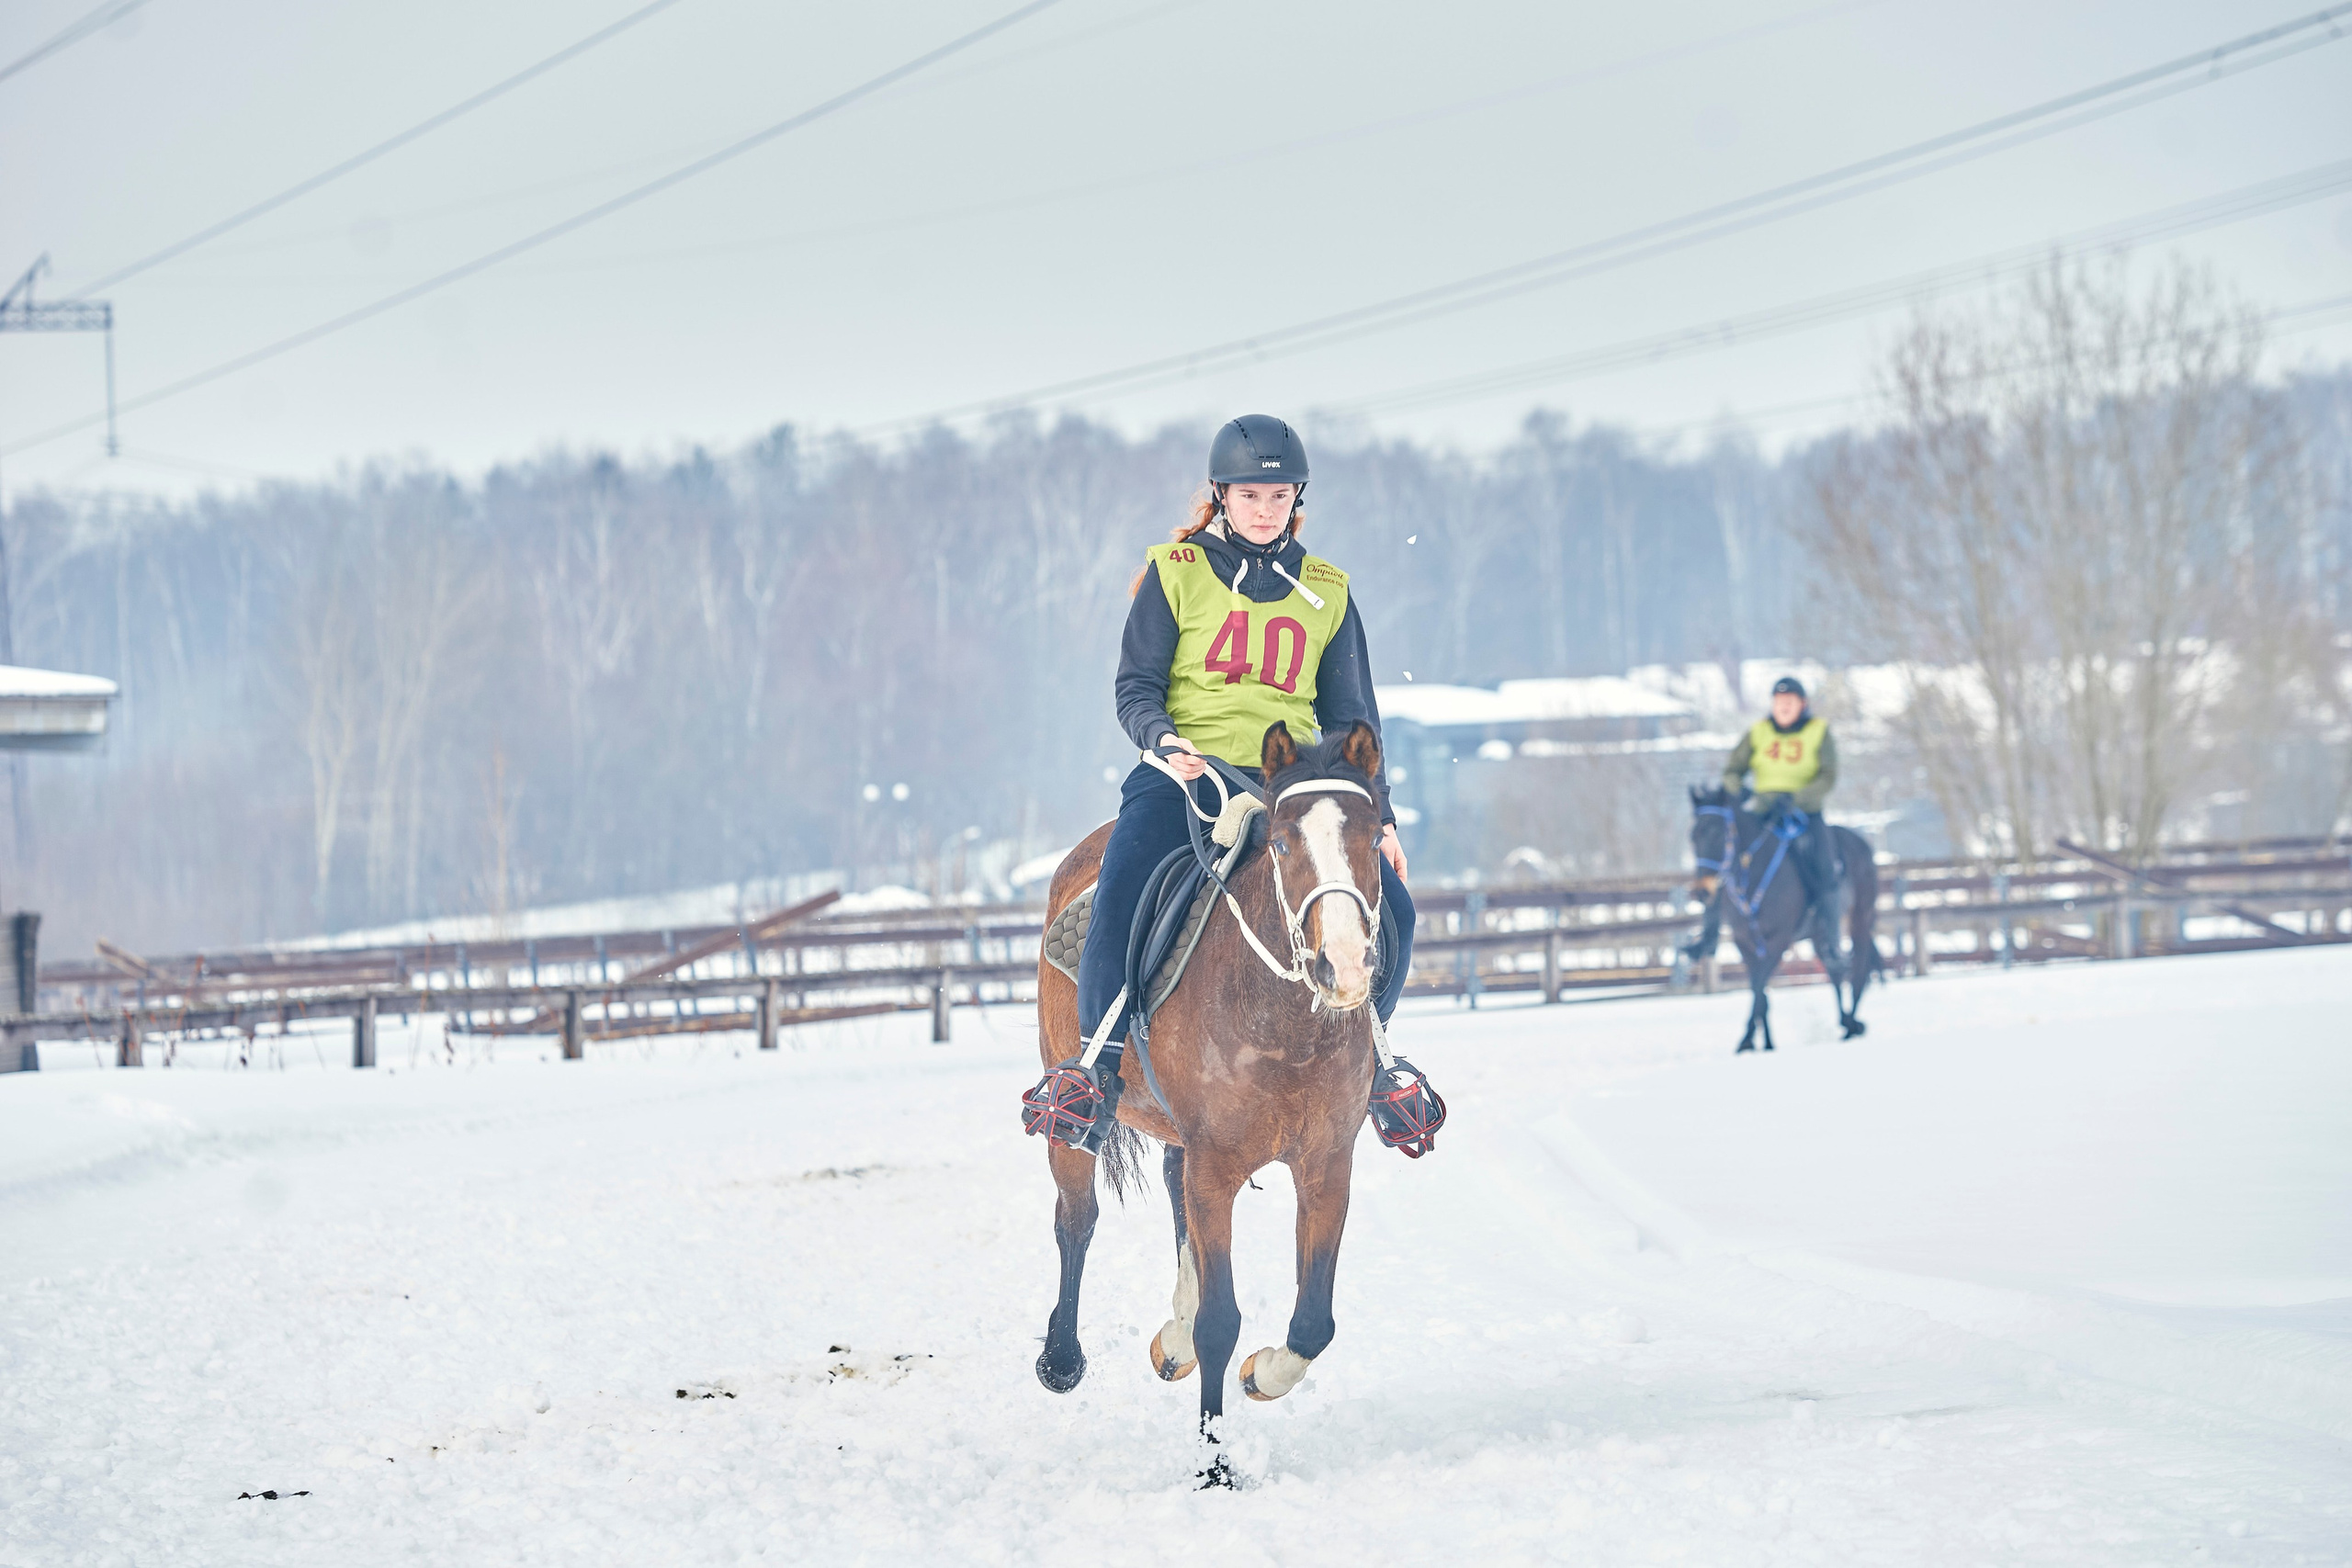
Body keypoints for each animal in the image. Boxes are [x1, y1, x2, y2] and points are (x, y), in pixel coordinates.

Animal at [1032, 720, 1389, 1487]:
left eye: (1375, 838)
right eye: (1282, 843)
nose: (1344, 965)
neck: (1281, 1022)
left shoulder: (1325, 1166)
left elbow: (1314, 1320)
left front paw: (1263, 1373)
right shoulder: (1218, 1166)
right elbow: (1222, 1320)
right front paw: (1215, 1465)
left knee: (1171, 1189)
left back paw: (1172, 1338)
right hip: (1073, 1109)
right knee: (1077, 1218)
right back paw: (1062, 1359)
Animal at [1686, 784, 1883, 1053]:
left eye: (1718, 832)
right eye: (1693, 836)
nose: (1701, 891)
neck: (1754, 874)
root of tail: (1861, 843)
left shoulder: (1779, 940)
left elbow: (1760, 987)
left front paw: (1752, 1041)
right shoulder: (1744, 942)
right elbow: (1759, 989)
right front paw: (1761, 1041)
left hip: (1860, 920)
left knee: (1858, 972)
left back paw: (1853, 1024)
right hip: (1819, 934)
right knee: (1835, 972)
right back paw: (1846, 1022)